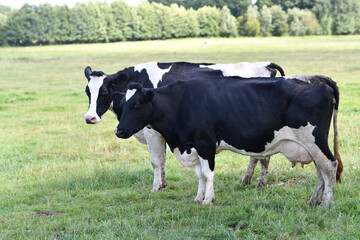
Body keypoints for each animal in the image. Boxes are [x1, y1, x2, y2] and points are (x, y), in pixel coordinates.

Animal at [83, 60, 284, 191]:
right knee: (257, 156)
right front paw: (163, 184)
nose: (89, 117)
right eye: (87, 92)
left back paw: (260, 183)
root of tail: (265, 64)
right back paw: (247, 180)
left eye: (104, 91)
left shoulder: (151, 131)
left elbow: (156, 160)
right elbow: (162, 160)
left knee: (263, 157)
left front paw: (156, 188)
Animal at [113, 76, 344, 204]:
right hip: (311, 145)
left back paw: (327, 202)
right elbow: (200, 175)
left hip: (315, 140)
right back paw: (314, 200)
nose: (119, 131)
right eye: (122, 105)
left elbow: (207, 174)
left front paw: (208, 200)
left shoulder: (205, 143)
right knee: (321, 170)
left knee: (329, 166)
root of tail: (319, 81)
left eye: (136, 105)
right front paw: (198, 198)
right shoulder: (195, 146)